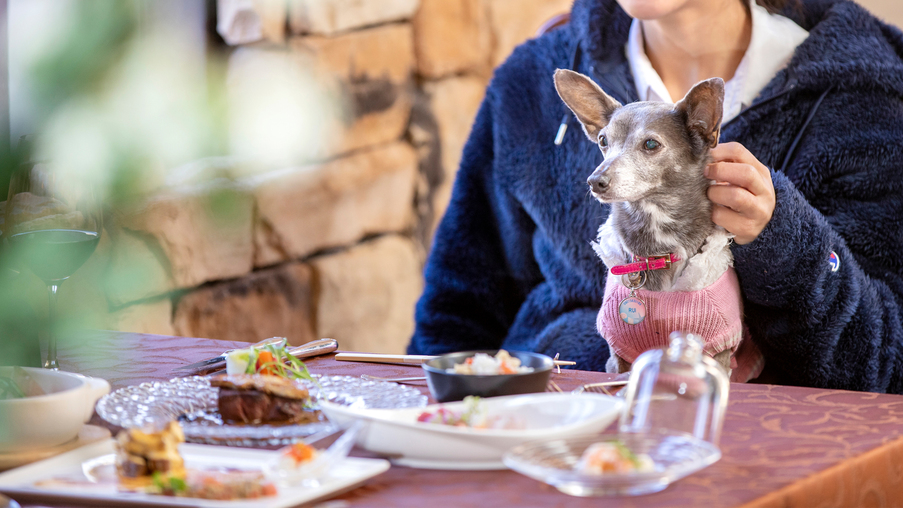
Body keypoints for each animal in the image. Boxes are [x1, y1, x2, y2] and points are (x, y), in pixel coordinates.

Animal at [556, 69, 760, 380]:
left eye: (651, 144)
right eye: (603, 140)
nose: (595, 181)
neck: (656, 246)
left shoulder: (719, 354)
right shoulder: (617, 357)